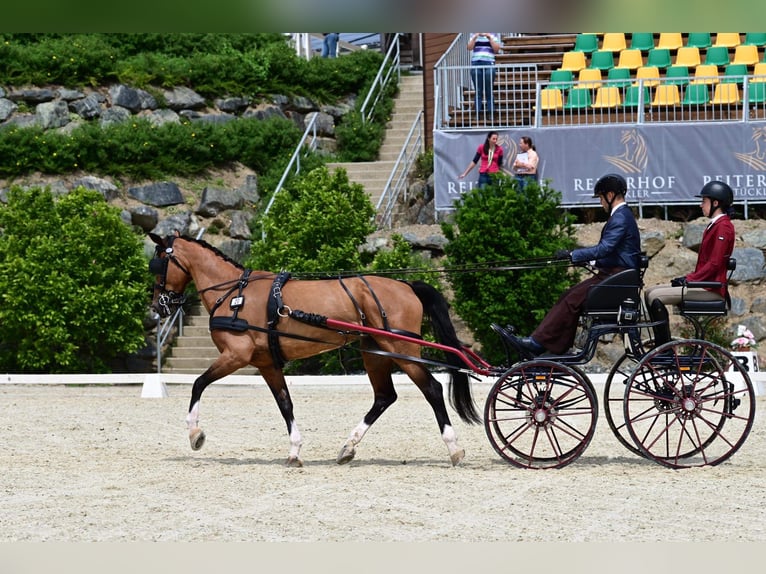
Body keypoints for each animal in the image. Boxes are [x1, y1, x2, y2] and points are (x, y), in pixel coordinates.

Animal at [149, 233, 480, 468]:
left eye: (158, 265)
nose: (156, 307)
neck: (233, 294)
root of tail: (406, 285)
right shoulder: (267, 364)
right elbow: (285, 404)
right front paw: (294, 451)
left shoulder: (235, 356)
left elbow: (198, 384)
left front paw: (195, 434)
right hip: (375, 353)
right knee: (385, 397)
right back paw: (348, 447)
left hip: (402, 348)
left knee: (432, 389)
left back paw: (454, 449)